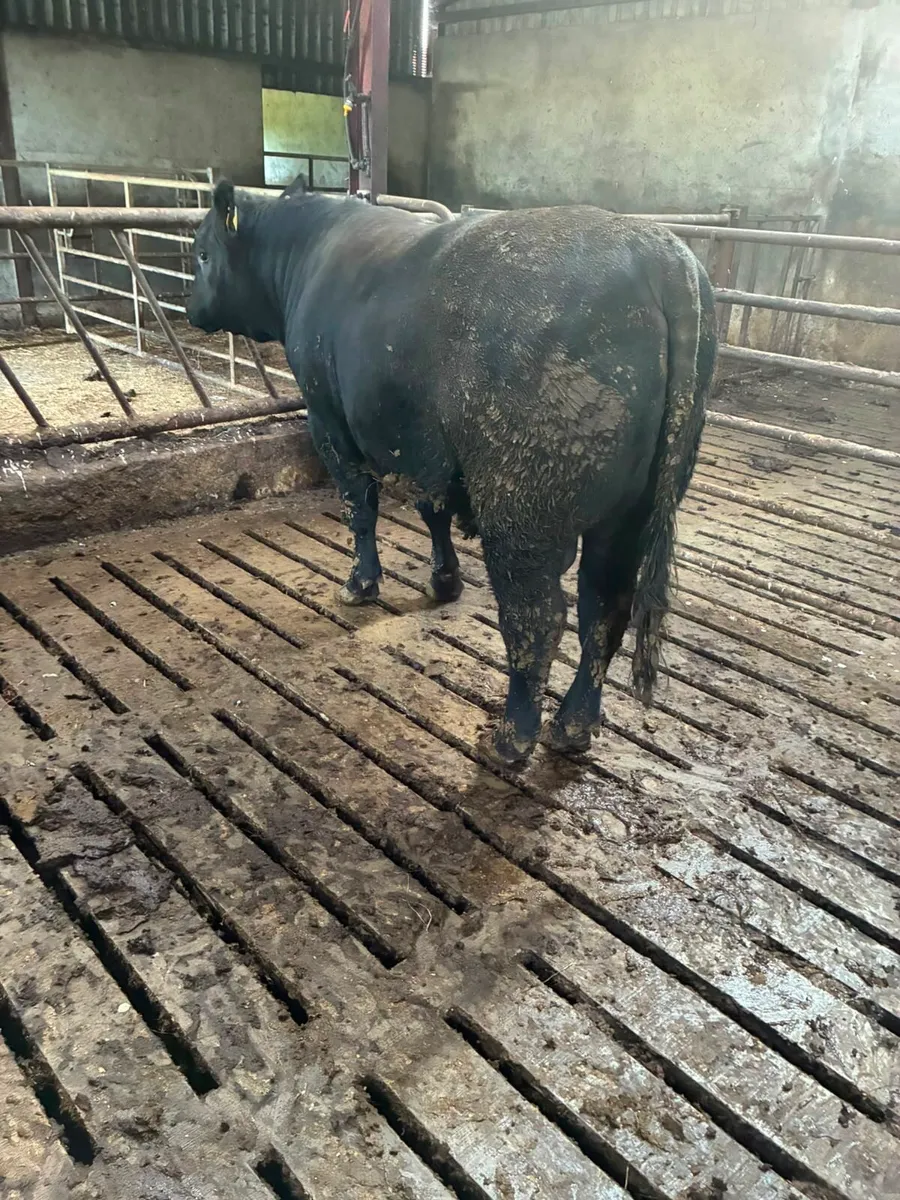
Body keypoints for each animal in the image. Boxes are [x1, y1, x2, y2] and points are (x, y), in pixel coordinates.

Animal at [187, 177, 716, 767]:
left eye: (202, 252)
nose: (190, 308)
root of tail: (656, 251)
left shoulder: (329, 421)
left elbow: (360, 508)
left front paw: (360, 584)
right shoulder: (423, 442)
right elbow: (431, 508)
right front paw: (444, 580)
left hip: (521, 508)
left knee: (537, 619)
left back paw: (512, 737)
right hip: (628, 515)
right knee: (603, 611)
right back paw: (574, 727)